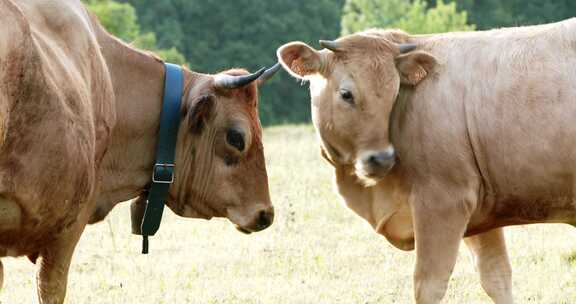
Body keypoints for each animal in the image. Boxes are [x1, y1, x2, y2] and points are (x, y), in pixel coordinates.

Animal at [276, 18, 576, 304]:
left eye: (394, 93)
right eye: (346, 94)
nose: (382, 158)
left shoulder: (445, 202)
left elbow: (429, 286)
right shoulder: (480, 213)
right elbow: (496, 277)